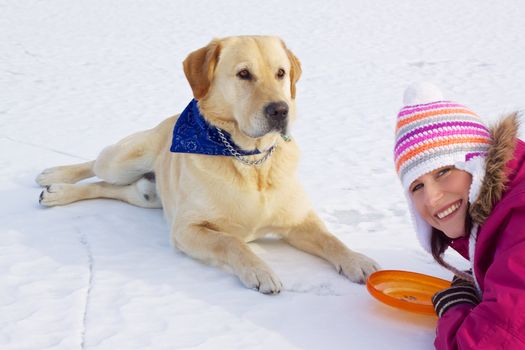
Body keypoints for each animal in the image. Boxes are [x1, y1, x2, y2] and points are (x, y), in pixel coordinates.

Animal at [39, 36, 378, 292]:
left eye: (281, 73)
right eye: (244, 74)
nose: (280, 110)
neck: (250, 161)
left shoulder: (299, 220)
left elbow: (331, 240)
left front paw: (357, 260)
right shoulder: (187, 229)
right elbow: (232, 242)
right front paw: (260, 271)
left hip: (146, 196)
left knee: (110, 188)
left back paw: (56, 191)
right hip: (122, 160)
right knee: (95, 166)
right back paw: (54, 178)